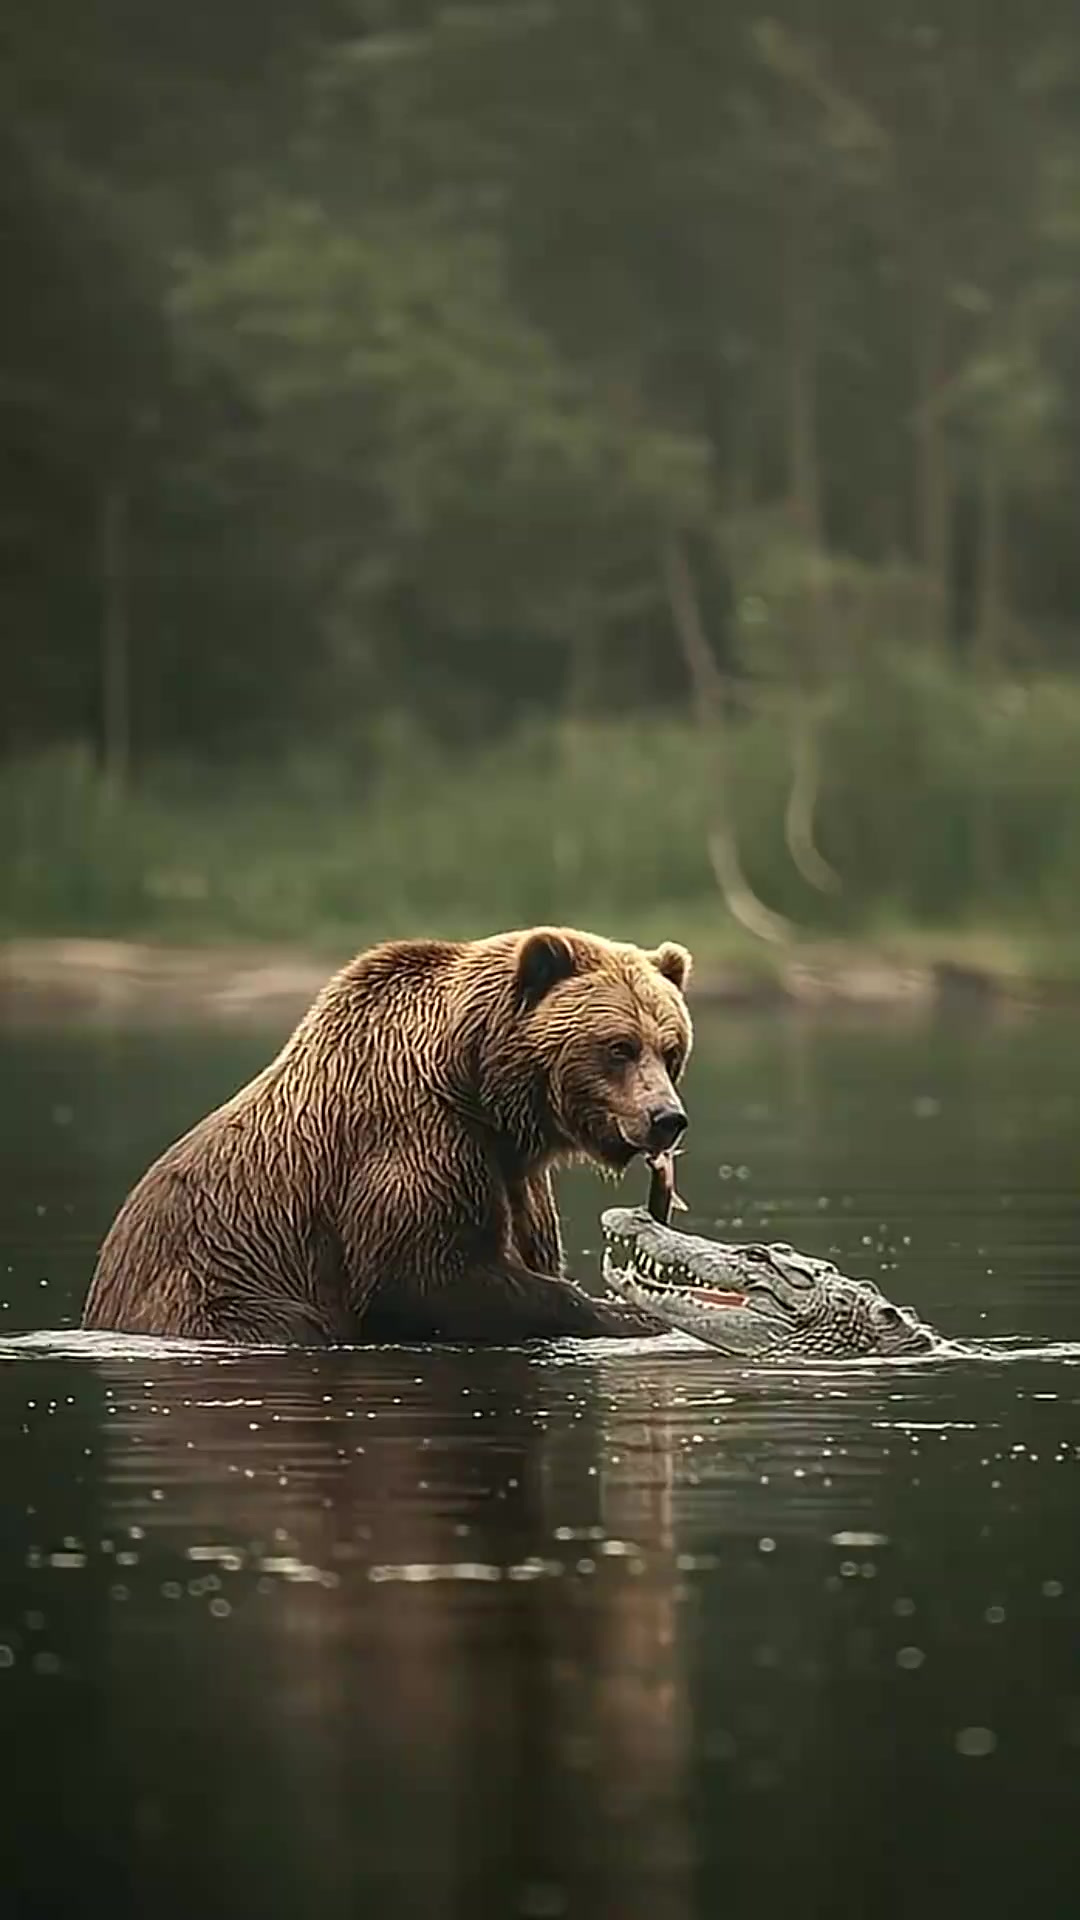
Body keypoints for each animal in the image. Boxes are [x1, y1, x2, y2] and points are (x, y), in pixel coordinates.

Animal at [81, 925, 693, 1345]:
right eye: (618, 1046)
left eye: (671, 1050)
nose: (667, 1117)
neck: (479, 1086)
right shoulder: (417, 1140)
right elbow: (420, 1275)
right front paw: (626, 1316)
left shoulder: (516, 1173)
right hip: (220, 1295)